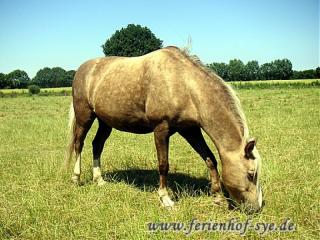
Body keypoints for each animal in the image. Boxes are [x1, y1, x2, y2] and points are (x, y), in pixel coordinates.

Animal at [64, 46, 262, 213]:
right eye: (251, 174)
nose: (257, 208)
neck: (183, 83)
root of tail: (83, 69)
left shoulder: (190, 130)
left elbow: (210, 159)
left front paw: (218, 197)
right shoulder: (161, 129)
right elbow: (163, 164)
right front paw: (165, 199)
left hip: (105, 122)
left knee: (97, 144)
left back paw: (99, 180)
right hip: (84, 116)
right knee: (79, 144)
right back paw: (76, 178)